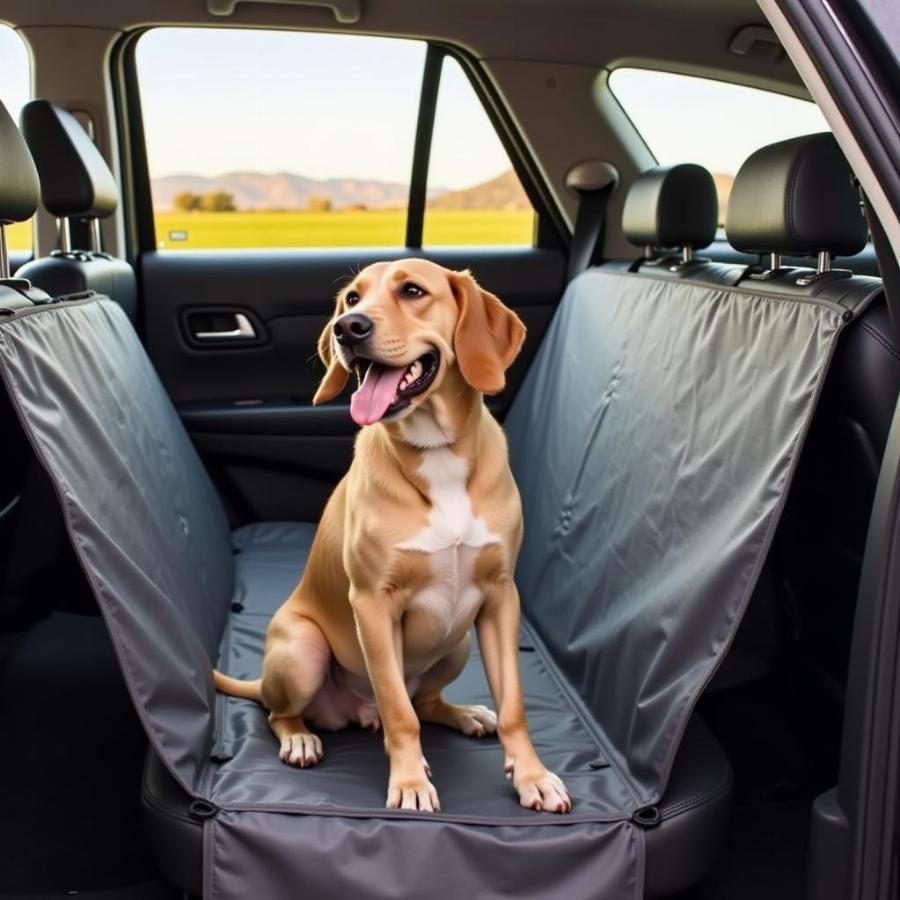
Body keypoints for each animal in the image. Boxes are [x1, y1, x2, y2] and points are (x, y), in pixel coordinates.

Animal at [214, 258, 568, 816]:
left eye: (414, 291)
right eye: (352, 298)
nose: (348, 328)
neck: (437, 452)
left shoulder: (499, 598)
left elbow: (513, 704)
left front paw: (532, 775)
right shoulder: (374, 605)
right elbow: (399, 714)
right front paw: (410, 782)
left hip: (457, 642)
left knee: (425, 702)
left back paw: (463, 713)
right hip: (304, 652)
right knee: (282, 713)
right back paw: (301, 738)